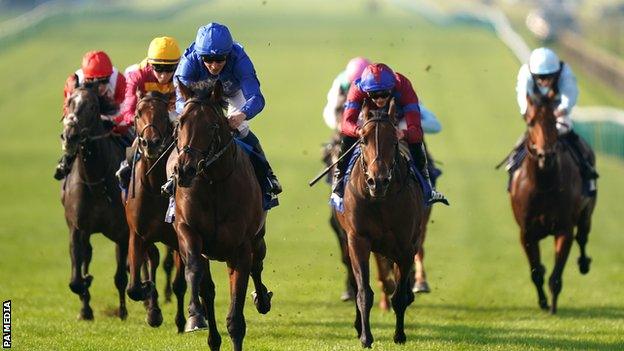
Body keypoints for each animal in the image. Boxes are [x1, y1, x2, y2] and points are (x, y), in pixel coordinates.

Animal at [61, 85, 129, 322]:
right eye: (70, 102)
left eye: (92, 106)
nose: (70, 136)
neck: (97, 181)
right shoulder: (77, 228)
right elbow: (75, 279)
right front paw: (85, 305)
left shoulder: (123, 233)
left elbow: (121, 277)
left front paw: (123, 312)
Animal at [123, 92, 189, 332]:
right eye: (138, 113)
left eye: (163, 114)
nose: (150, 142)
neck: (154, 187)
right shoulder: (137, 234)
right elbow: (134, 287)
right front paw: (151, 304)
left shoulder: (179, 239)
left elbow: (180, 283)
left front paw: (182, 321)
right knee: (152, 258)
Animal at [174, 80, 274, 351]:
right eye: (180, 122)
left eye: (212, 125)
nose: (184, 170)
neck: (214, 183)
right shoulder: (188, 231)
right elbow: (194, 270)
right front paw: (195, 312)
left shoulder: (240, 248)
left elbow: (236, 317)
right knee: (208, 287)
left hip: (258, 238)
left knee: (258, 265)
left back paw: (263, 299)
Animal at [334, 103, 426, 348]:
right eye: (363, 139)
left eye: (394, 140)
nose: (378, 181)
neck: (380, 200)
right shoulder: (358, 240)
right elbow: (364, 292)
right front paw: (366, 337)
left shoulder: (405, 246)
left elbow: (400, 296)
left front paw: (399, 335)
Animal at [510, 93, 596, 314]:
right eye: (531, 122)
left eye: (554, 121)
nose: (545, 155)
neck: (544, 185)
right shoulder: (526, 233)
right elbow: (536, 272)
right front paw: (543, 302)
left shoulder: (564, 230)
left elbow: (556, 276)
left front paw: (553, 307)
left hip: (587, 212)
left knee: (582, 236)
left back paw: (584, 263)